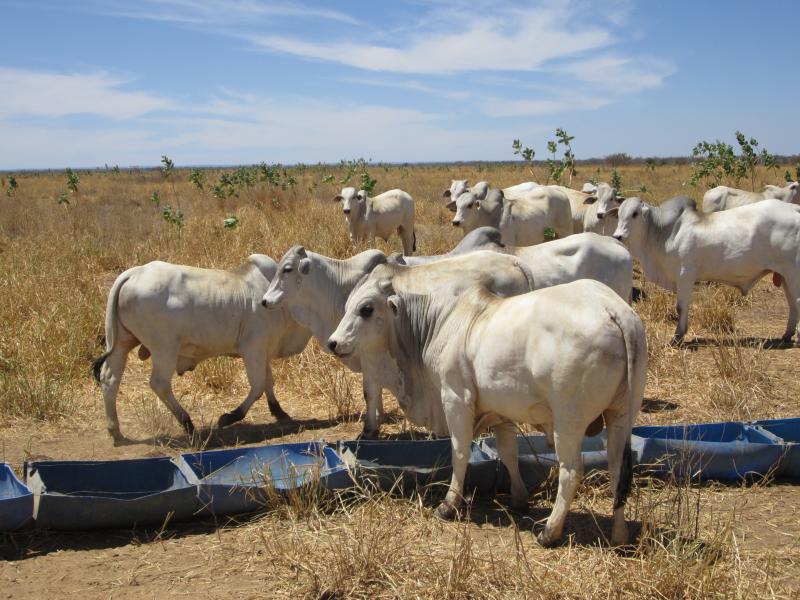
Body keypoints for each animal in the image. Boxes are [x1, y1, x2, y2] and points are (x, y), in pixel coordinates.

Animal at [90, 255, 310, 442]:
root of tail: (134, 272)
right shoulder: (253, 347)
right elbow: (258, 386)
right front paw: (230, 417)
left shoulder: (264, 350)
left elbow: (268, 382)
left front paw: (279, 411)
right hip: (165, 348)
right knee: (159, 384)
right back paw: (187, 423)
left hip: (121, 343)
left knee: (110, 379)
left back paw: (115, 431)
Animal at [328, 274, 648, 548]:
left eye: (366, 309)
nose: (333, 342)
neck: (440, 321)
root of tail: (612, 308)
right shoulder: (501, 412)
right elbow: (508, 453)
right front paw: (518, 498)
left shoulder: (455, 399)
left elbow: (459, 453)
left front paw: (448, 505)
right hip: (621, 415)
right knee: (618, 469)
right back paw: (619, 536)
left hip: (568, 422)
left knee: (571, 471)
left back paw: (549, 532)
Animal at [612, 198, 800, 342]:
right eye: (619, 214)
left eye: (635, 214)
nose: (618, 236)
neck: (665, 232)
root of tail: (794, 209)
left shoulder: (685, 274)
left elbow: (681, 307)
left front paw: (678, 337)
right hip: (785, 276)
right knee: (792, 304)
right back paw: (787, 334)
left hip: (793, 274)